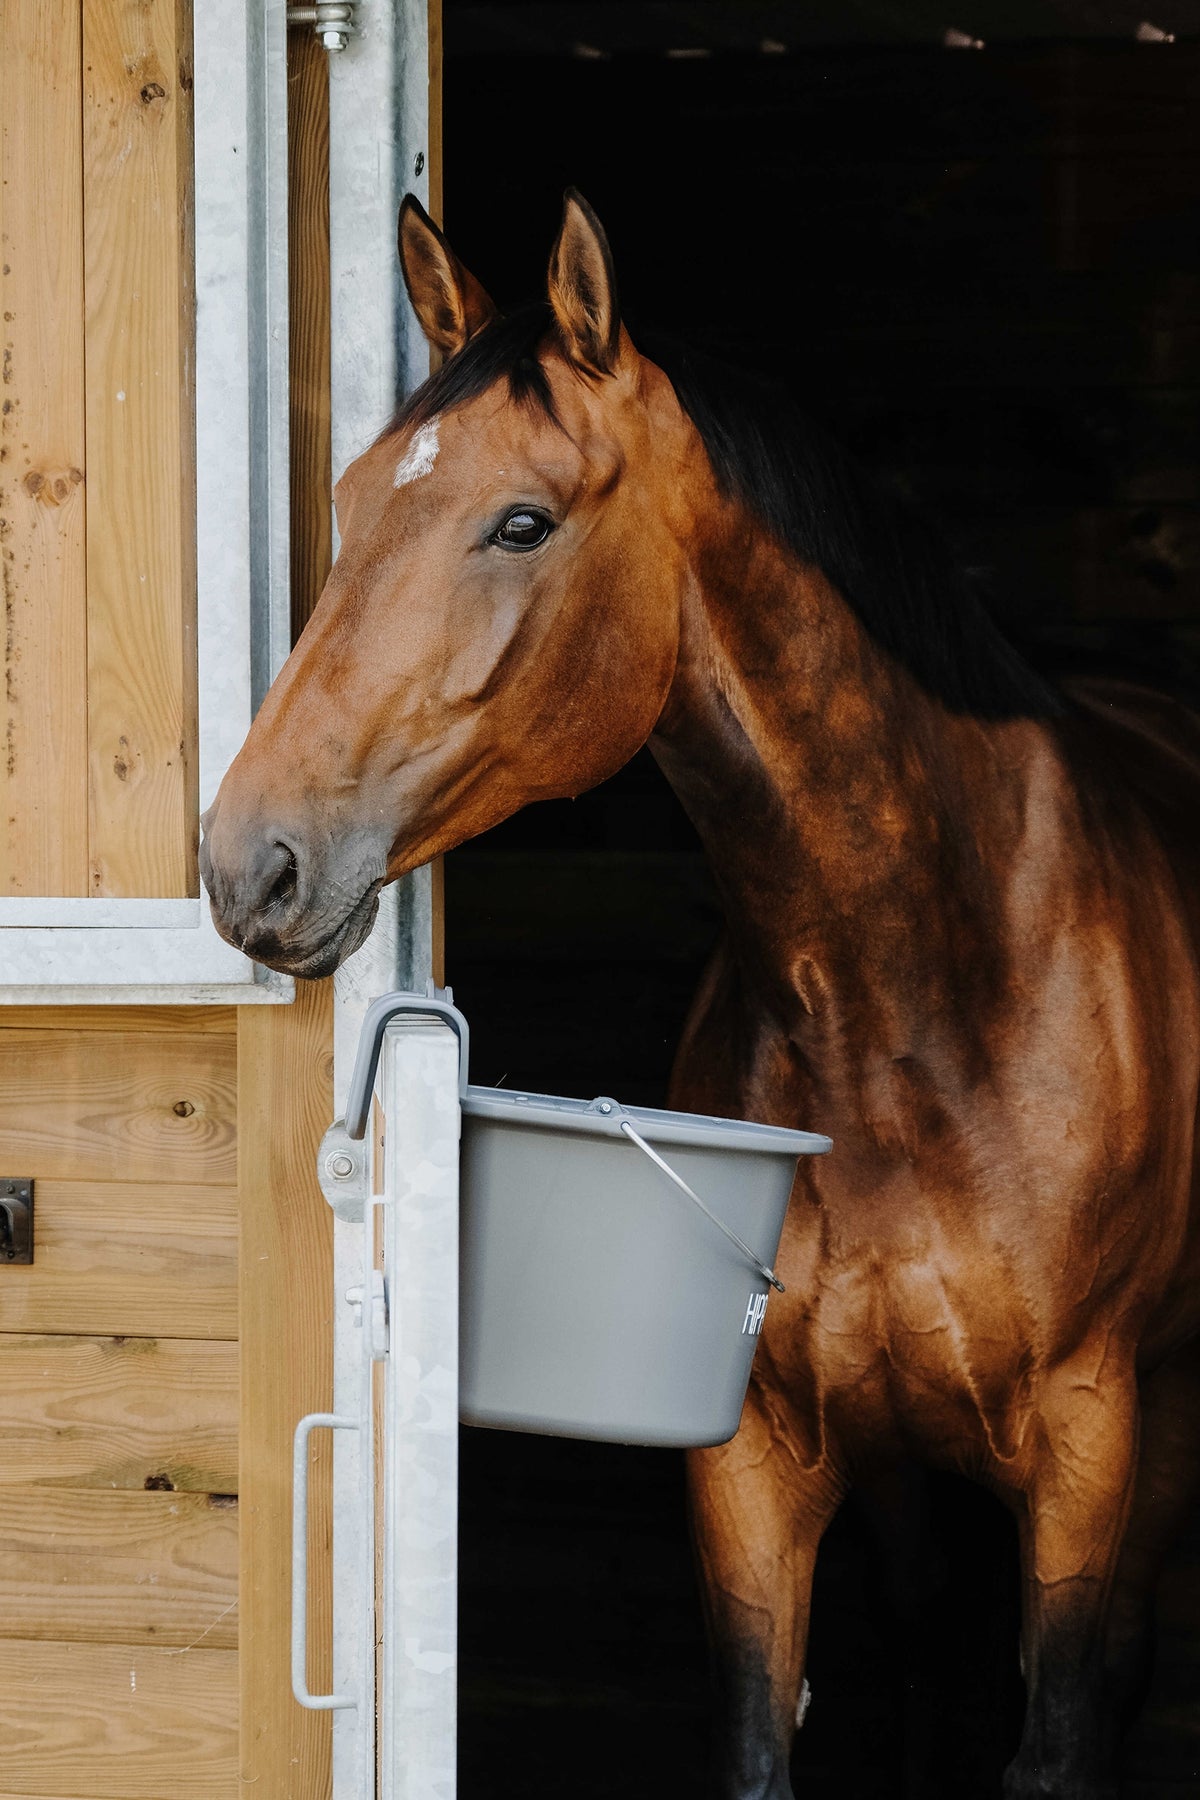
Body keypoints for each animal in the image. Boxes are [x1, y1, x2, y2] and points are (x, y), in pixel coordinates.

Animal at [200, 191, 1200, 1798]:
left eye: (524, 521)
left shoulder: (1090, 1449)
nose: (249, 864)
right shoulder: (755, 1463)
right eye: (350, 502)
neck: (919, 1001)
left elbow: (1058, 1735)